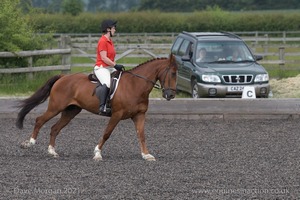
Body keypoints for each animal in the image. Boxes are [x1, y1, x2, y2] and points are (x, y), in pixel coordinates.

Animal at [15, 54, 177, 162]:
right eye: (173, 73)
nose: (170, 95)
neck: (135, 85)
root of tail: (62, 77)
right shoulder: (117, 114)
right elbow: (107, 133)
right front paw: (97, 153)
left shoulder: (139, 115)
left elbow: (141, 135)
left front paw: (146, 155)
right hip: (56, 107)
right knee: (39, 120)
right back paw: (29, 143)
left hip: (70, 111)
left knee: (55, 128)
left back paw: (52, 152)